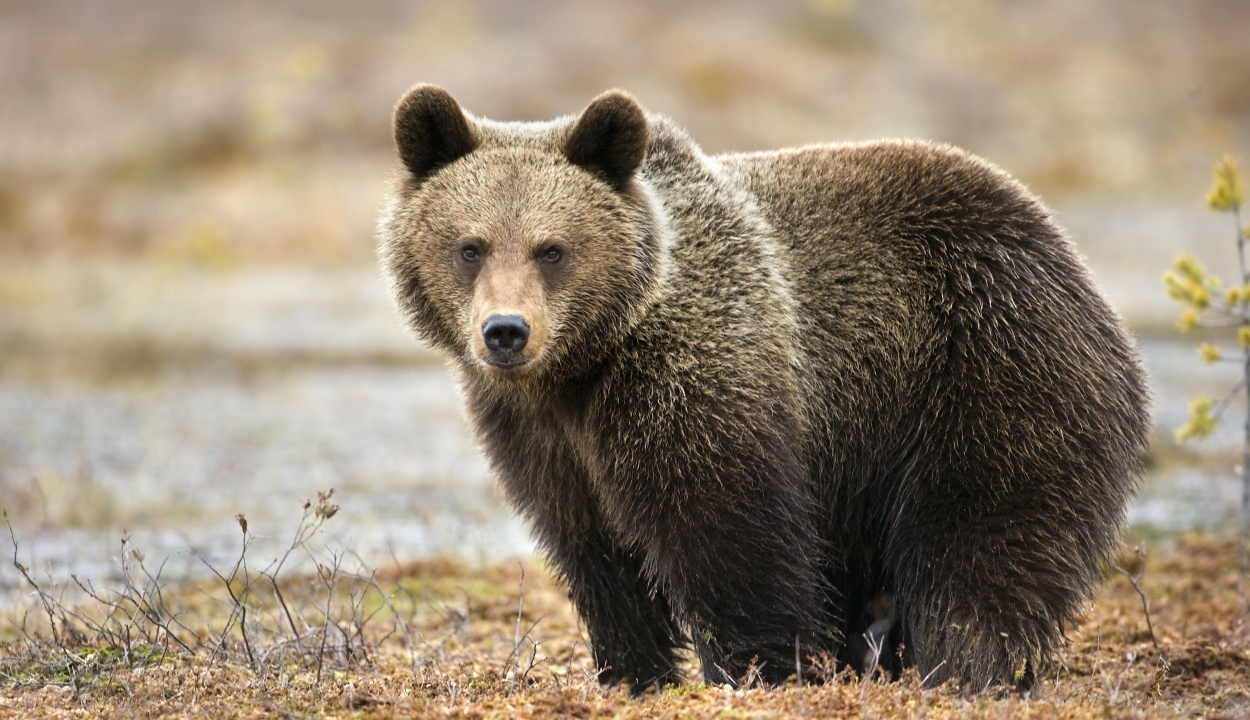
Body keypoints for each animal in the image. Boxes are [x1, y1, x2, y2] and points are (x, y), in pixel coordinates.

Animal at [377, 85, 1150, 700]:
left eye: (552, 249)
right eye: (470, 246)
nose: (506, 332)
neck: (583, 367)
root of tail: (1062, 247)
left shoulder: (697, 373)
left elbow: (728, 531)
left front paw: (761, 671)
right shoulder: (539, 435)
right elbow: (594, 552)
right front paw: (632, 673)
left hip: (985, 365)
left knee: (984, 536)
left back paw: (968, 668)